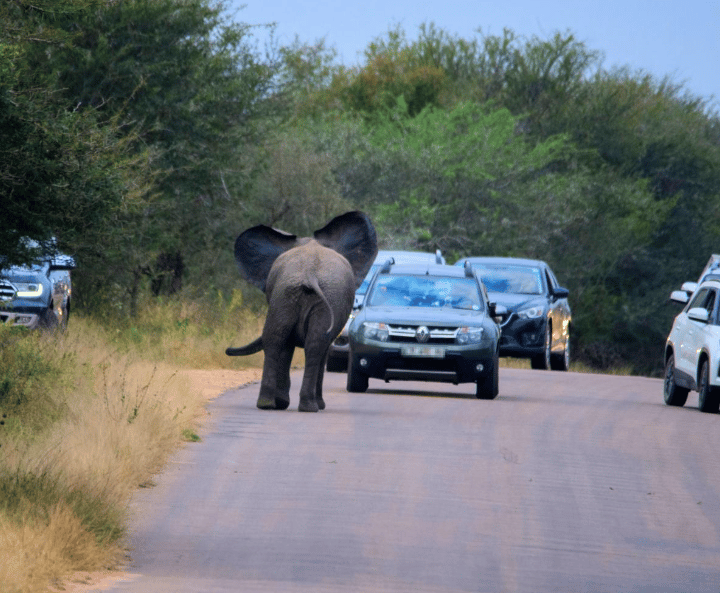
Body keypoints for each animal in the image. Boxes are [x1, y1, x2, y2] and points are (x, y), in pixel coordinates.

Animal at [226, 212, 376, 412]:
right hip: (308, 296)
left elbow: (288, 346)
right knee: (311, 345)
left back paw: (269, 404)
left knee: (276, 340)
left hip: (286, 295)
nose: (227, 349)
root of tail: (309, 273)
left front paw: (283, 402)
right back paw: (308, 406)